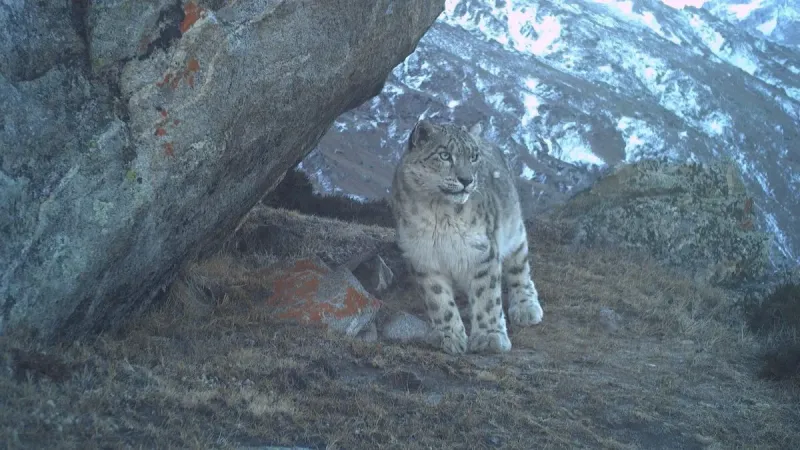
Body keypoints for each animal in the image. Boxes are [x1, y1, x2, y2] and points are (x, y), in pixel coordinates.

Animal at [389, 119, 544, 354]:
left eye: (473, 157)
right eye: (445, 155)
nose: (466, 179)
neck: (440, 214)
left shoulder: (482, 251)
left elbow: (487, 297)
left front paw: (490, 337)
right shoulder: (423, 256)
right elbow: (438, 300)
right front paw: (450, 337)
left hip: (514, 231)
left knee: (520, 267)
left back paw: (526, 307)